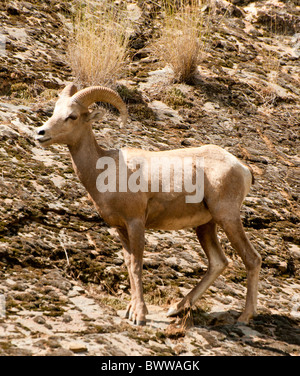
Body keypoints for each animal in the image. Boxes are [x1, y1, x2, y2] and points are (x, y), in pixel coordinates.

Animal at [36, 83, 262, 324]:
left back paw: (244, 316)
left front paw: (139, 315)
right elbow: (129, 264)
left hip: (227, 218)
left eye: (72, 116)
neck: (106, 170)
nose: (41, 133)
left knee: (252, 259)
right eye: (54, 111)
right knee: (218, 262)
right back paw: (176, 309)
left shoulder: (136, 223)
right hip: (205, 226)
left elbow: (137, 265)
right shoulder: (120, 228)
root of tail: (242, 168)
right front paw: (131, 310)